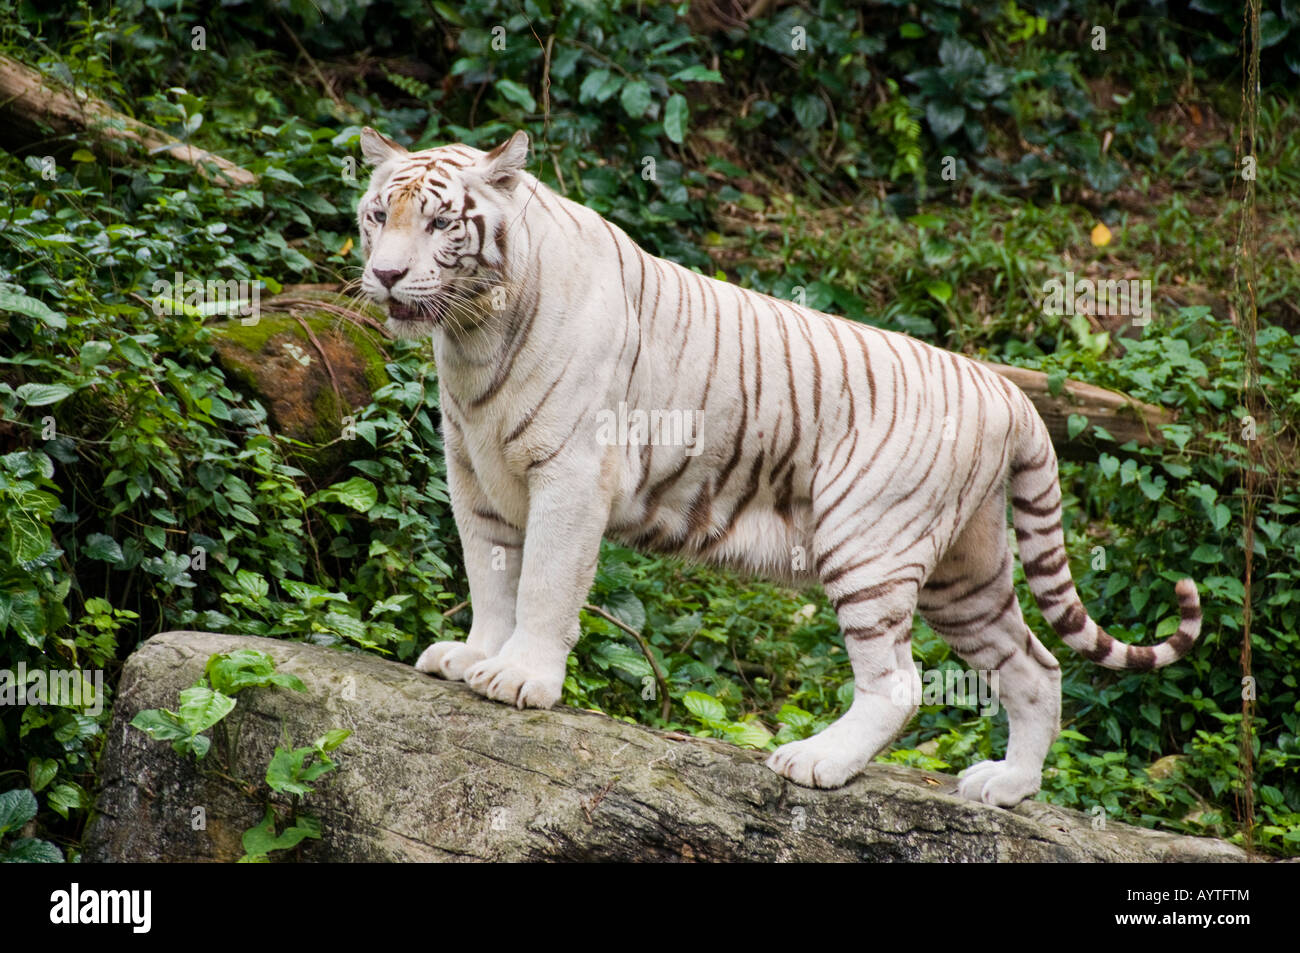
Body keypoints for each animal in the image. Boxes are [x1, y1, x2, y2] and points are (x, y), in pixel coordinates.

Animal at [356, 126, 1202, 808]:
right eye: (376, 216)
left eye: (440, 222)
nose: (387, 276)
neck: (473, 334)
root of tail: (1011, 391)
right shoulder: (473, 474)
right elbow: (490, 575)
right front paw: (473, 656)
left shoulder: (569, 473)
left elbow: (542, 584)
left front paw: (520, 678)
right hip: (967, 574)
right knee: (1035, 665)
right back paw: (1009, 785)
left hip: (869, 544)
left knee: (901, 683)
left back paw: (815, 761)